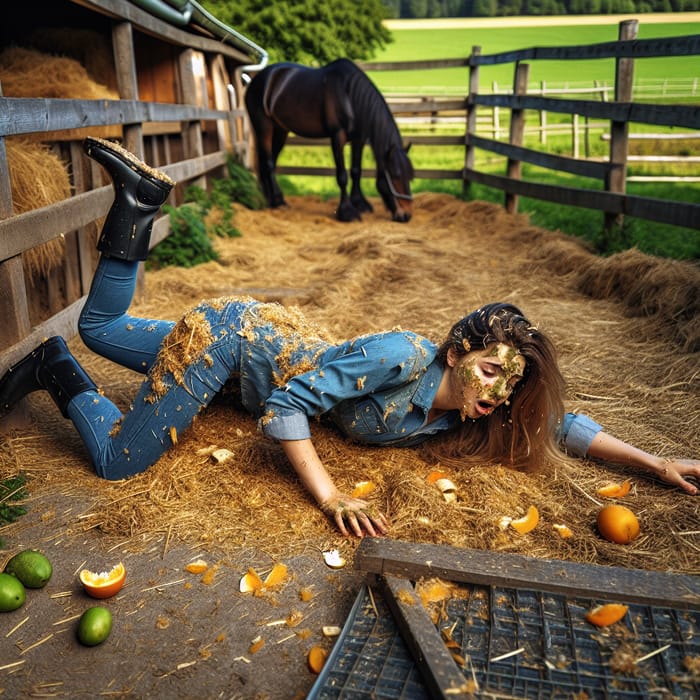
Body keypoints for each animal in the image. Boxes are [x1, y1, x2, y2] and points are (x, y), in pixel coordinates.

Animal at [245, 61, 412, 224]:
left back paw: (270, 199)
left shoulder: (359, 138)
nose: (406, 215)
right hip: (264, 127)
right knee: (268, 163)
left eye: (410, 176)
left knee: (269, 162)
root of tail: (257, 80)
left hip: (281, 131)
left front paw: (360, 203)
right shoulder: (337, 136)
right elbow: (342, 176)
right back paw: (278, 201)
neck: (349, 95)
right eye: (396, 175)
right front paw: (347, 212)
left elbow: (356, 171)